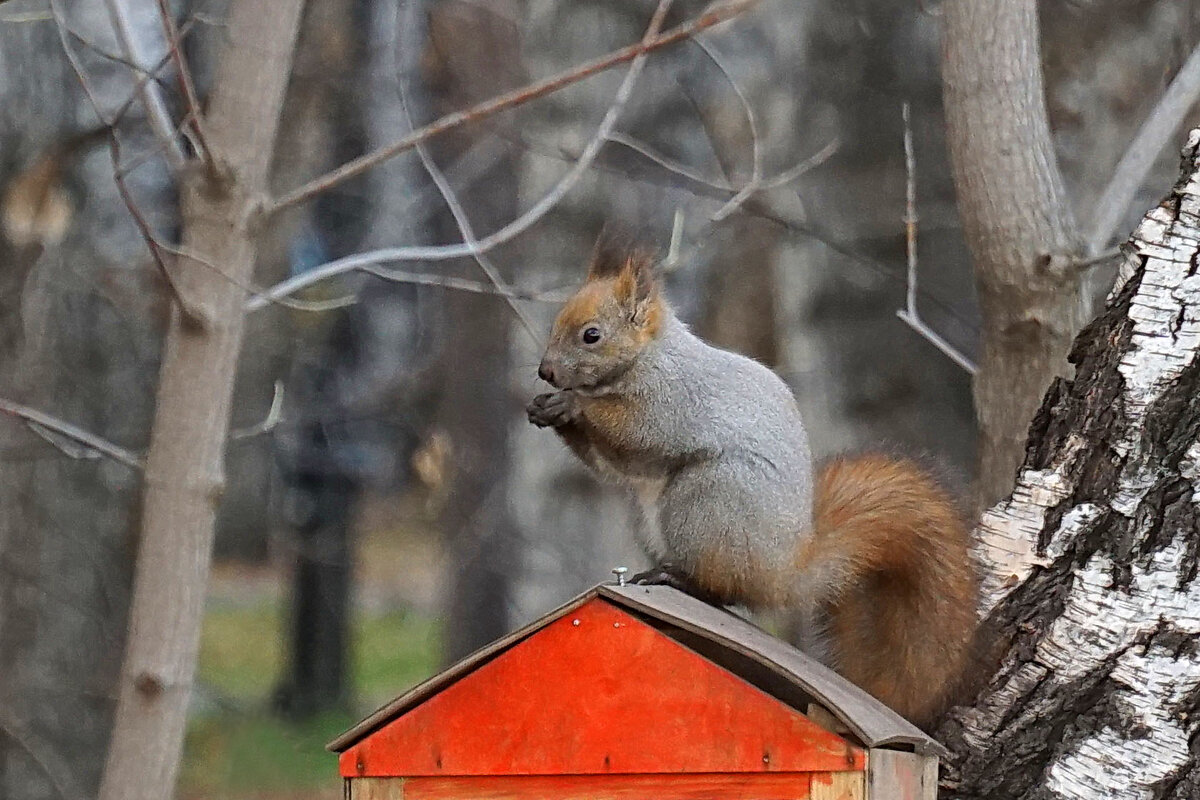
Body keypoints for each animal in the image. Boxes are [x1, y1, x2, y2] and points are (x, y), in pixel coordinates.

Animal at [530, 244, 979, 724]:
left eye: (591, 335)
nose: (545, 372)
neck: (650, 358)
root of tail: (785, 571)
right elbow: (615, 466)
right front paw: (544, 409)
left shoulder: (672, 403)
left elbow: (637, 431)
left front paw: (573, 404)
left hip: (705, 502)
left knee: (724, 589)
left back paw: (677, 577)